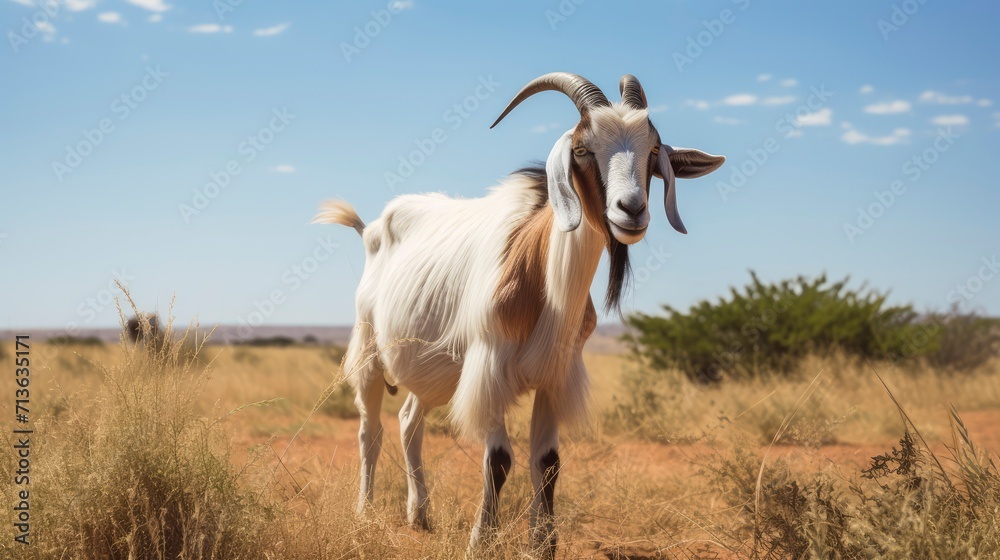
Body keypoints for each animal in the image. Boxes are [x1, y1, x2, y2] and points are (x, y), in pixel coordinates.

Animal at [313, 72, 725, 557]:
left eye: (653, 149)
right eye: (582, 148)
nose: (632, 210)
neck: (540, 277)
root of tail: (371, 230)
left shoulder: (554, 376)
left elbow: (547, 462)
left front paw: (543, 544)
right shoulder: (490, 368)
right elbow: (498, 460)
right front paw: (480, 541)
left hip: (436, 372)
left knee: (410, 421)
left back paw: (420, 515)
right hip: (370, 355)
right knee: (370, 431)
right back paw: (365, 512)